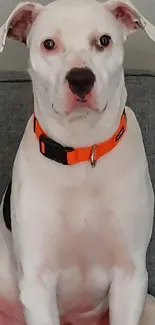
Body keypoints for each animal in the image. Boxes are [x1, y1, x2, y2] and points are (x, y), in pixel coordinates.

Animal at [0, 0, 155, 324]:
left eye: (104, 40)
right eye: (49, 44)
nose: (81, 79)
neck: (83, 150)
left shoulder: (131, 277)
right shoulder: (36, 283)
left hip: (150, 304)